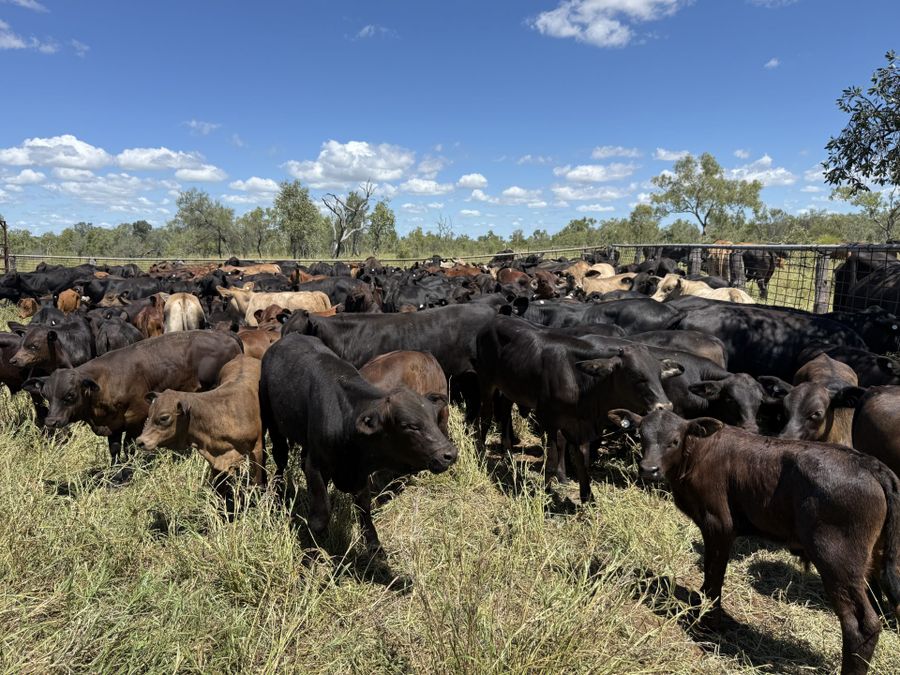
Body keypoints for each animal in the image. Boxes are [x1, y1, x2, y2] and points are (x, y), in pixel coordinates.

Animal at [23, 331, 242, 465]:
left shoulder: (135, 419)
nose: (51, 421)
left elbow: (129, 447)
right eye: (46, 396)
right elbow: (114, 449)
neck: (106, 380)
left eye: (70, 395)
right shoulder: (112, 424)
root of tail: (225, 334)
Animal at [137, 355, 264, 509]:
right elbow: (219, 489)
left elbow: (257, 482)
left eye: (164, 417)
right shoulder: (215, 459)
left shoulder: (257, 449)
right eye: (149, 413)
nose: (140, 441)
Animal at [259, 334, 458, 556]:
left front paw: (373, 544)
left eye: (432, 418)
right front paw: (311, 550)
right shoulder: (317, 467)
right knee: (280, 458)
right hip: (272, 423)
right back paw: (278, 492)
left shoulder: (360, 470)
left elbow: (364, 506)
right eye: (409, 426)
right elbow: (320, 516)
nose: (449, 454)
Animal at [608, 407, 900, 675]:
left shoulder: (719, 525)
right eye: (641, 436)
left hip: (837, 559)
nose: (649, 469)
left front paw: (709, 623)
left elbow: (715, 574)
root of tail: (871, 465)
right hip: (873, 557)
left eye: (674, 441)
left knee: (861, 624)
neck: (697, 455)